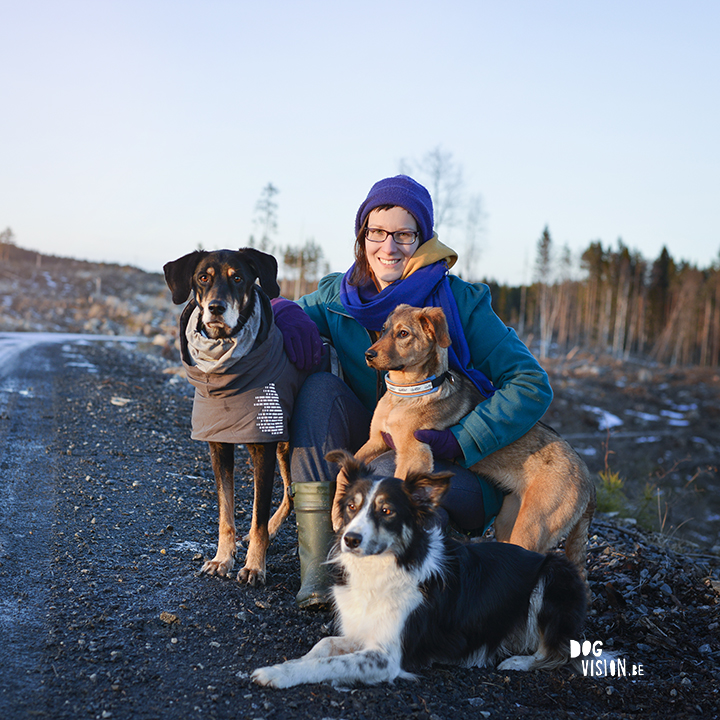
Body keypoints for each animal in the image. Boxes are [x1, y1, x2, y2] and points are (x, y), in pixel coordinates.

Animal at [165, 248, 308, 584]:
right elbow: (225, 512)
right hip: (285, 448)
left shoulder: (263, 449)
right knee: (290, 493)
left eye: (239, 278)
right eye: (203, 277)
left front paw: (255, 566)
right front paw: (222, 559)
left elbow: (256, 516)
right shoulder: (219, 447)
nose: (216, 308)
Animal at [250, 450, 588, 688]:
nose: (350, 539)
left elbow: (327, 664)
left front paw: (277, 674)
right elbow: (323, 645)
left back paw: (516, 662)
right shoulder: (364, 632)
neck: (384, 567)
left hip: (555, 574)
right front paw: (290, 664)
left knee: (557, 652)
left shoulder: (387, 657)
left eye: (387, 511)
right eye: (351, 507)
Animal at [350, 302, 596, 580]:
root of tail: (589, 481)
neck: (405, 395)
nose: (368, 355)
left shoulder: (413, 455)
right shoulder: (376, 441)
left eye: (403, 334)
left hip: (532, 526)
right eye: (383, 329)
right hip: (508, 519)